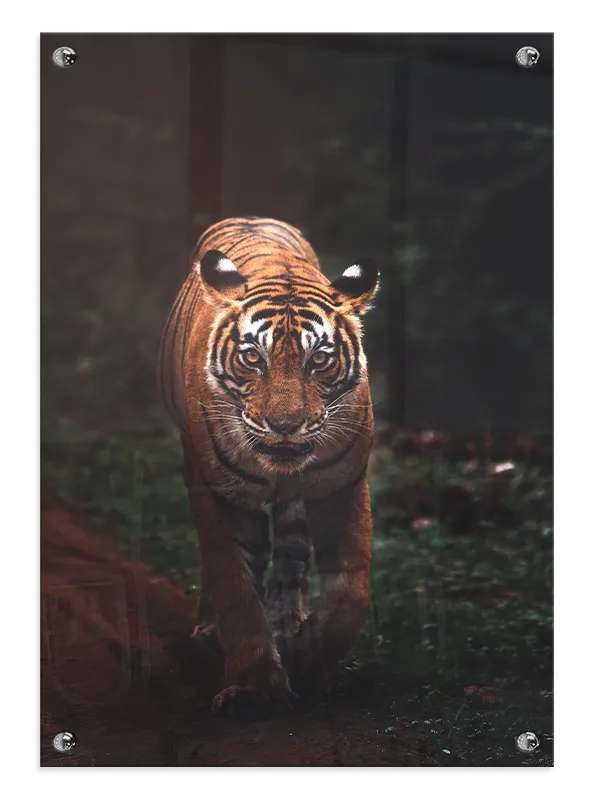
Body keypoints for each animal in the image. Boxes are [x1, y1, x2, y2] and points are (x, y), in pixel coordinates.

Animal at [158, 217, 379, 715]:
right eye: (252, 358)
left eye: (319, 360)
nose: (285, 425)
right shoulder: (217, 491)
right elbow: (235, 585)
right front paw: (254, 687)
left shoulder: (343, 486)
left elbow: (351, 591)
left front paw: (310, 659)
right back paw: (213, 630)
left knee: (291, 553)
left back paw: (288, 625)